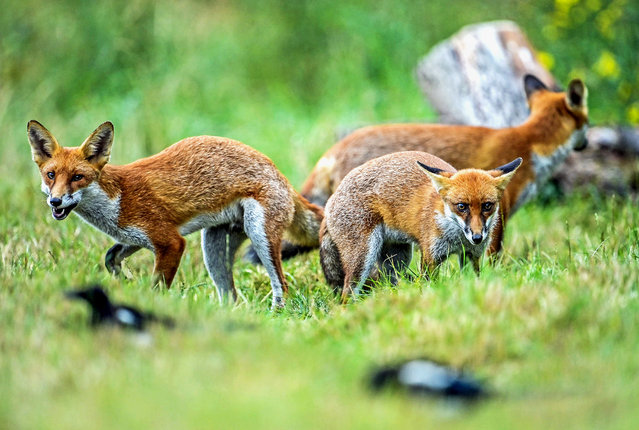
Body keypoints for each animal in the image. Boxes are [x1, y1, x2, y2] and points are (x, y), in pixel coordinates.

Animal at [27, 119, 322, 308]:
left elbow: (157, 287)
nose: (55, 201)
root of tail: (278, 172)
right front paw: (126, 282)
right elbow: (110, 258)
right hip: (214, 249)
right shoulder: (134, 237)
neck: (117, 199)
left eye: (77, 177)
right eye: (51, 175)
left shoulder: (170, 241)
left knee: (281, 286)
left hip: (260, 237)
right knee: (231, 297)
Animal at [250, 74, 592, 262]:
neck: (529, 143)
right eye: (588, 124)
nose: (587, 144)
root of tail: (334, 149)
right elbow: (492, 254)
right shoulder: (498, 215)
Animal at [322, 151, 524, 302]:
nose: (477, 238)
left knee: (387, 282)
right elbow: (429, 286)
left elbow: (472, 281)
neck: (456, 237)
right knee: (347, 294)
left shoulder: (470, 255)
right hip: (363, 258)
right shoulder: (430, 256)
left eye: (487, 206)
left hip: (398, 258)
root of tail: (331, 200)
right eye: (461, 206)